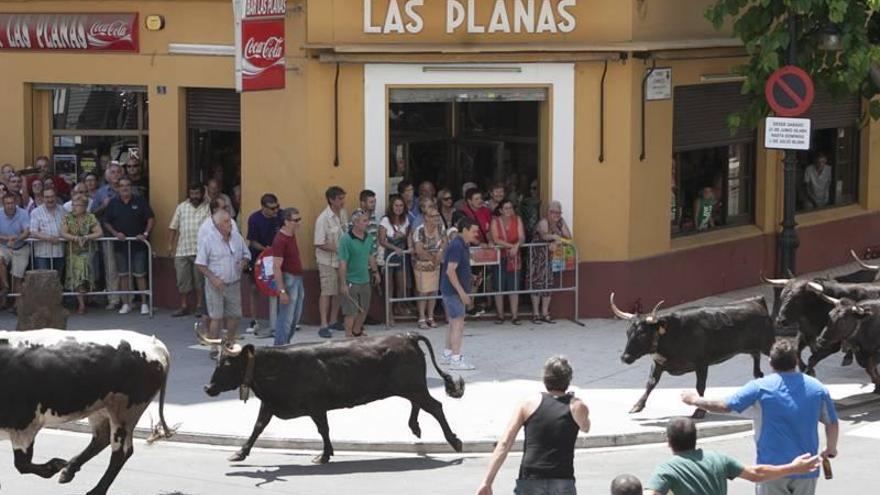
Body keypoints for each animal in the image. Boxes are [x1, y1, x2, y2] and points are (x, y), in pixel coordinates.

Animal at [0, 330, 175, 495]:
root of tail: (155, 344)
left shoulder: (23, 424)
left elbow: (22, 464)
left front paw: (55, 465)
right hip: (101, 409)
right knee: (101, 439)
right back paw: (69, 470)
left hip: (126, 411)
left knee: (121, 452)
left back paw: (96, 490)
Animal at [202, 332, 468, 464]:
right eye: (217, 362)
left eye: (226, 364)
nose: (207, 387)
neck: (276, 365)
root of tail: (407, 336)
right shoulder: (269, 404)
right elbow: (258, 427)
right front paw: (239, 453)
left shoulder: (316, 406)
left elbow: (323, 429)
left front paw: (324, 455)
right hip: (410, 386)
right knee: (419, 405)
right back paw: (416, 428)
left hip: (412, 386)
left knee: (435, 406)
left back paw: (454, 441)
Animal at [608, 294, 772, 418]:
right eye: (628, 332)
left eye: (642, 333)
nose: (625, 357)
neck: (672, 334)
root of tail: (756, 301)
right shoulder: (658, 363)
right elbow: (650, 383)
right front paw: (637, 405)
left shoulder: (702, 364)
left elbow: (700, 386)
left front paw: (699, 411)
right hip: (751, 347)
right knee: (756, 358)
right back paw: (759, 375)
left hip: (768, 344)